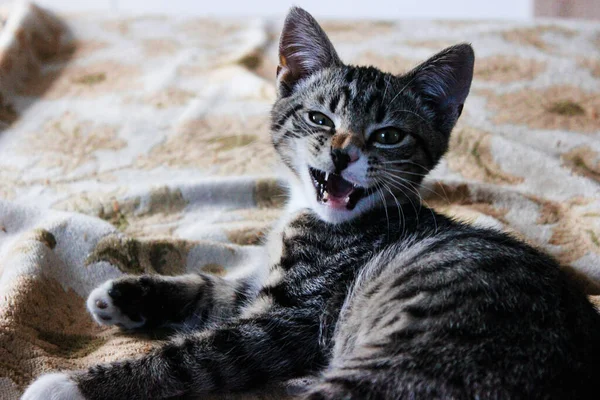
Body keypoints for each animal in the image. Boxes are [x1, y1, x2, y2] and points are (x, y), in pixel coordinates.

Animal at [22, 6, 600, 400]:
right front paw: (122, 295)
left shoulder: (293, 320)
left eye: (389, 135)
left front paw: (67, 387)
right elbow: (211, 287)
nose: (343, 153)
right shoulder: (259, 287)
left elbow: (192, 356)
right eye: (320, 118)